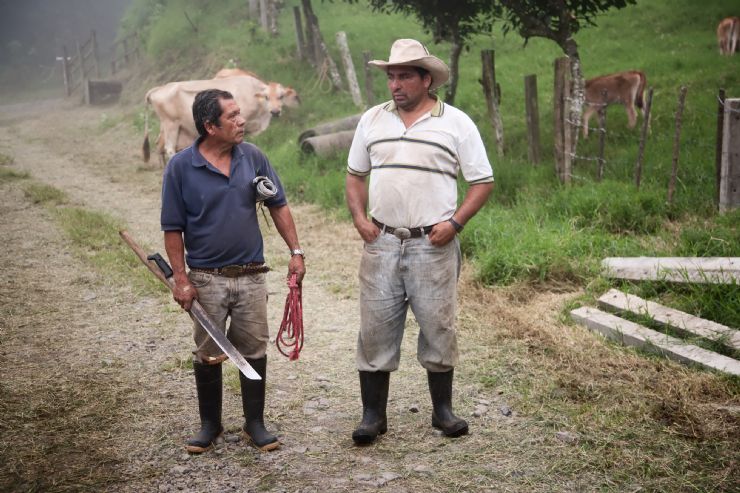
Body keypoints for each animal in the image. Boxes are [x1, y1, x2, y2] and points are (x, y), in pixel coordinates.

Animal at [142, 75, 284, 163]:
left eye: (281, 96)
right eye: (266, 97)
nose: (275, 111)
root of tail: (160, 88)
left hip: (167, 126)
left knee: (159, 144)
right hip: (171, 124)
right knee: (169, 148)